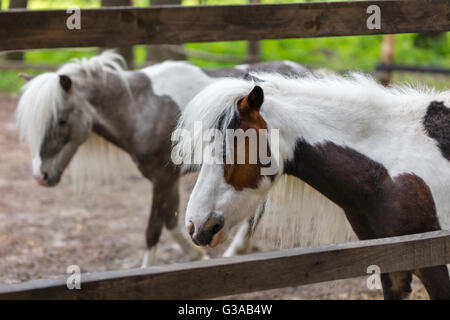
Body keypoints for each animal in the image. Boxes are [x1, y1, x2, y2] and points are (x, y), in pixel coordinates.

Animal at [14, 52, 310, 266]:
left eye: (62, 120)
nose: (41, 176)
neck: (142, 108)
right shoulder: (167, 180)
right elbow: (170, 220)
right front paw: (196, 255)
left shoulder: (163, 178)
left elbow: (153, 229)